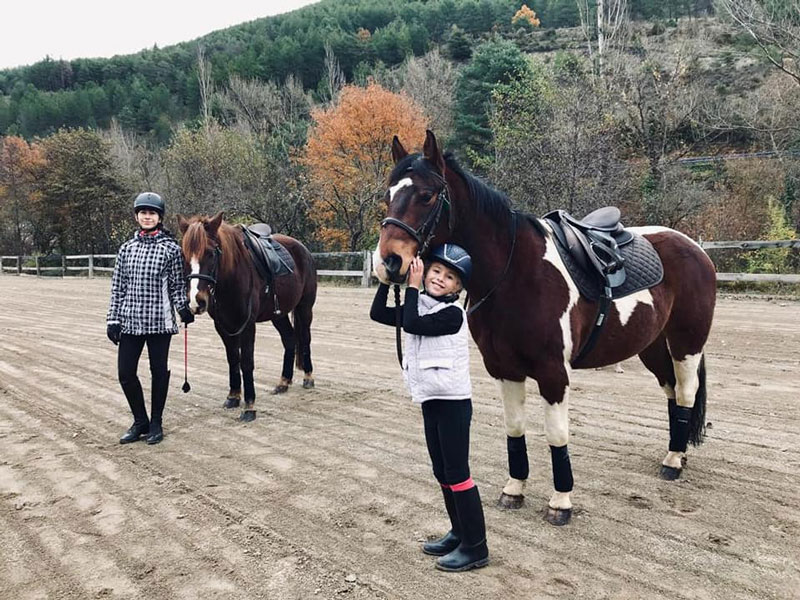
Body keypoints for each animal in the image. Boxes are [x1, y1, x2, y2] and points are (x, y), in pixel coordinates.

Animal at [180, 212, 318, 422]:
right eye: (183, 254)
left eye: (211, 253)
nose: (197, 301)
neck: (231, 277)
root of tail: (303, 249)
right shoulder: (223, 326)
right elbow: (232, 359)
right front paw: (233, 397)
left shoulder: (247, 325)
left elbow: (246, 362)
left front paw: (249, 407)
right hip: (279, 315)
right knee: (289, 339)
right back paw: (283, 382)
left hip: (305, 308)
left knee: (305, 339)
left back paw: (308, 377)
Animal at [376, 131, 720, 524]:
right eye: (388, 194)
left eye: (426, 195)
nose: (388, 262)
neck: (516, 272)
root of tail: (694, 247)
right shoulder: (504, 370)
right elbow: (514, 428)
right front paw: (514, 489)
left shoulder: (553, 373)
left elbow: (557, 435)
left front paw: (561, 501)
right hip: (651, 346)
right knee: (672, 391)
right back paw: (677, 453)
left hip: (686, 343)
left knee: (686, 391)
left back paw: (674, 462)